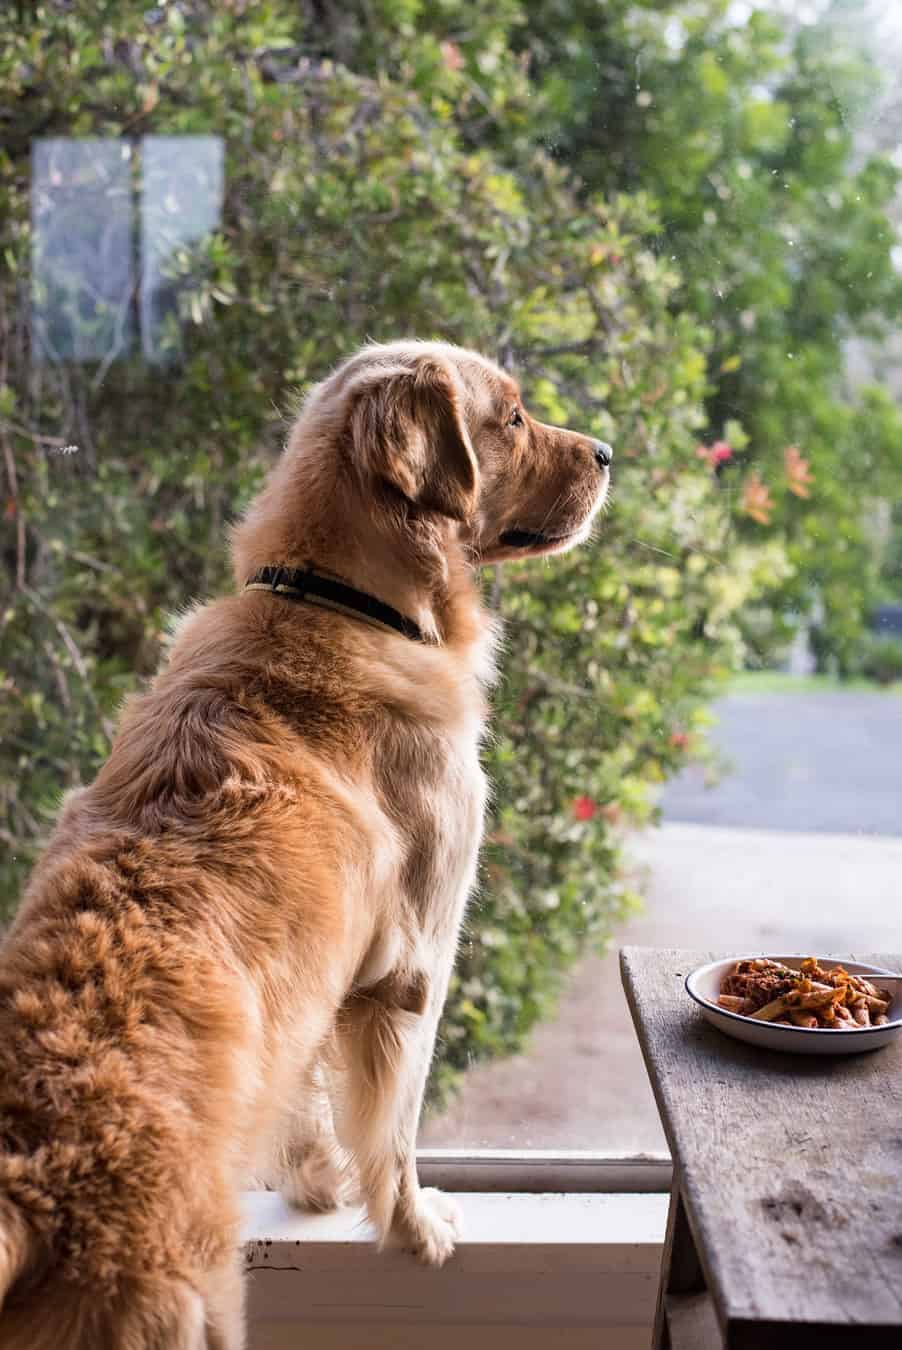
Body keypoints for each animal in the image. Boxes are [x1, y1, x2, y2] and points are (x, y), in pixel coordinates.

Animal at [0, 334, 613, 1339]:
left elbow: (305, 1101)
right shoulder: (416, 962)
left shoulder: (317, 986)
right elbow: (394, 1128)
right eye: (515, 417)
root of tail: (32, 1166)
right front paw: (413, 1227)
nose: (607, 454)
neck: (339, 599)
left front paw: (316, 1184)